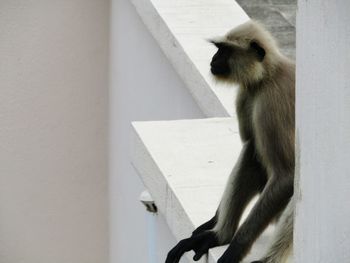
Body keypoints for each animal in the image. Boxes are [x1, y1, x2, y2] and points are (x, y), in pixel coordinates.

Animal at [165, 20, 296, 263]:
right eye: (218, 49)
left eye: (224, 50)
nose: (214, 58)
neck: (267, 76)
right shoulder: (247, 95)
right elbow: (255, 154)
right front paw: (215, 226)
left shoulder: (270, 103)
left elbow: (286, 175)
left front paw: (235, 249)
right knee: (252, 150)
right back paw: (220, 235)